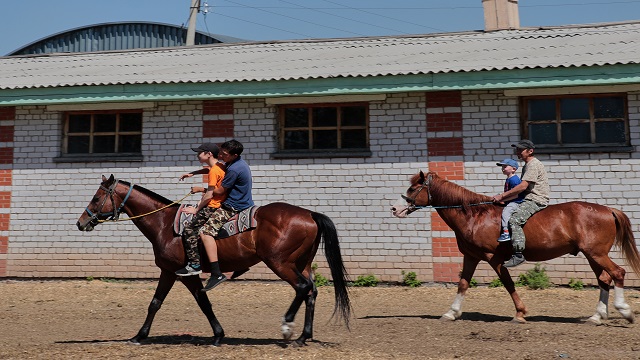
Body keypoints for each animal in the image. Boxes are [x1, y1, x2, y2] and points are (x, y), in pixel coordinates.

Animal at [79, 174, 356, 346]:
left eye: (96, 198)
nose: (81, 222)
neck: (164, 224)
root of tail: (309, 214)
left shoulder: (184, 273)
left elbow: (203, 303)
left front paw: (218, 336)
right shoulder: (168, 272)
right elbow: (155, 303)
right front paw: (139, 336)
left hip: (281, 263)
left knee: (302, 287)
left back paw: (288, 327)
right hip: (302, 264)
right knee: (311, 292)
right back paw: (303, 336)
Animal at [390, 171, 640, 324]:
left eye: (413, 189)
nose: (394, 208)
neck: (475, 215)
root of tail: (607, 209)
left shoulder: (493, 257)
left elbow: (508, 284)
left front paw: (520, 313)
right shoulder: (471, 256)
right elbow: (463, 284)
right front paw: (451, 313)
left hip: (596, 253)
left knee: (617, 273)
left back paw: (624, 311)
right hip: (592, 255)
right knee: (604, 279)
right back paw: (597, 316)